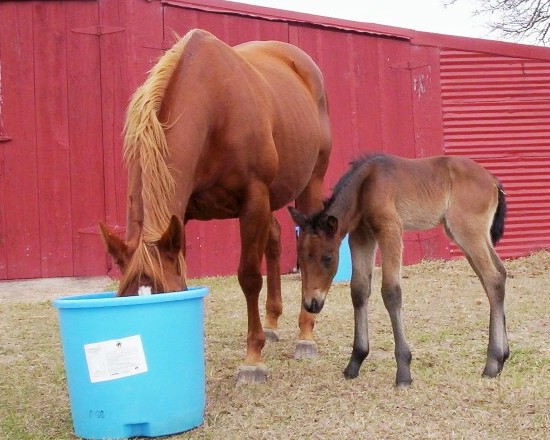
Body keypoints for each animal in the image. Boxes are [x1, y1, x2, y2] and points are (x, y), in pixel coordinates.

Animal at [99, 29, 332, 384]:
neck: (214, 106)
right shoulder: (181, 218)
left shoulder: (253, 199)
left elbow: (248, 277)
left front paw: (253, 360)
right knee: (275, 239)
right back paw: (272, 323)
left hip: (308, 185)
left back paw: (305, 336)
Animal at [289, 153, 509, 387]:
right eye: (300, 260)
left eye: (327, 258)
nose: (311, 304)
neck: (366, 184)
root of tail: (494, 181)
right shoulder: (361, 236)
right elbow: (359, 290)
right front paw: (355, 362)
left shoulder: (390, 229)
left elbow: (391, 292)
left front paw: (403, 370)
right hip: (467, 234)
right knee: (498, 275)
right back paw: (502, 357)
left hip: (467, 231)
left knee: (492, 278)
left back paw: (492, 363)